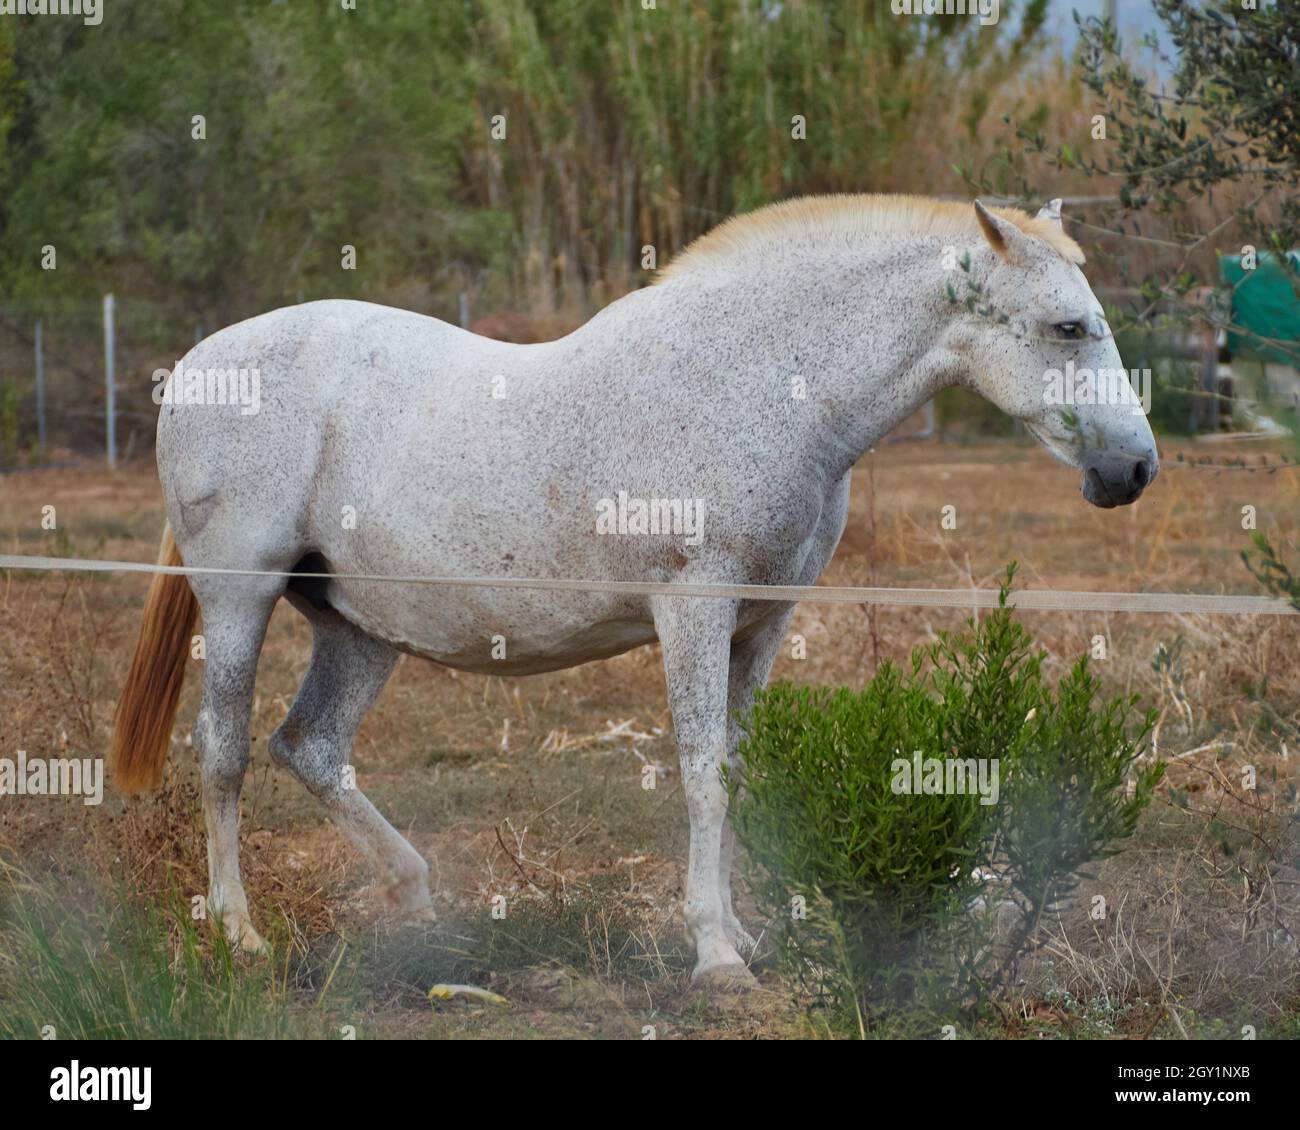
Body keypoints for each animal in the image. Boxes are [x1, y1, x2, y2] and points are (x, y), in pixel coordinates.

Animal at [111, 196, 1159, 988]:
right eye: (1068, 327)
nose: (1136, 470)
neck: (765, 383)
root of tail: (203, 363)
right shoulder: (693, 612)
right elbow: (700, 774)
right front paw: (715, 957)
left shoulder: (760, 623)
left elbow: (736, 768)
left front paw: (744, 934)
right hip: (239, 601)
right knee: (226, 753)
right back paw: (240, 933)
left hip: (361, 629)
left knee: (312, 748)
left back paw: (413, 900)